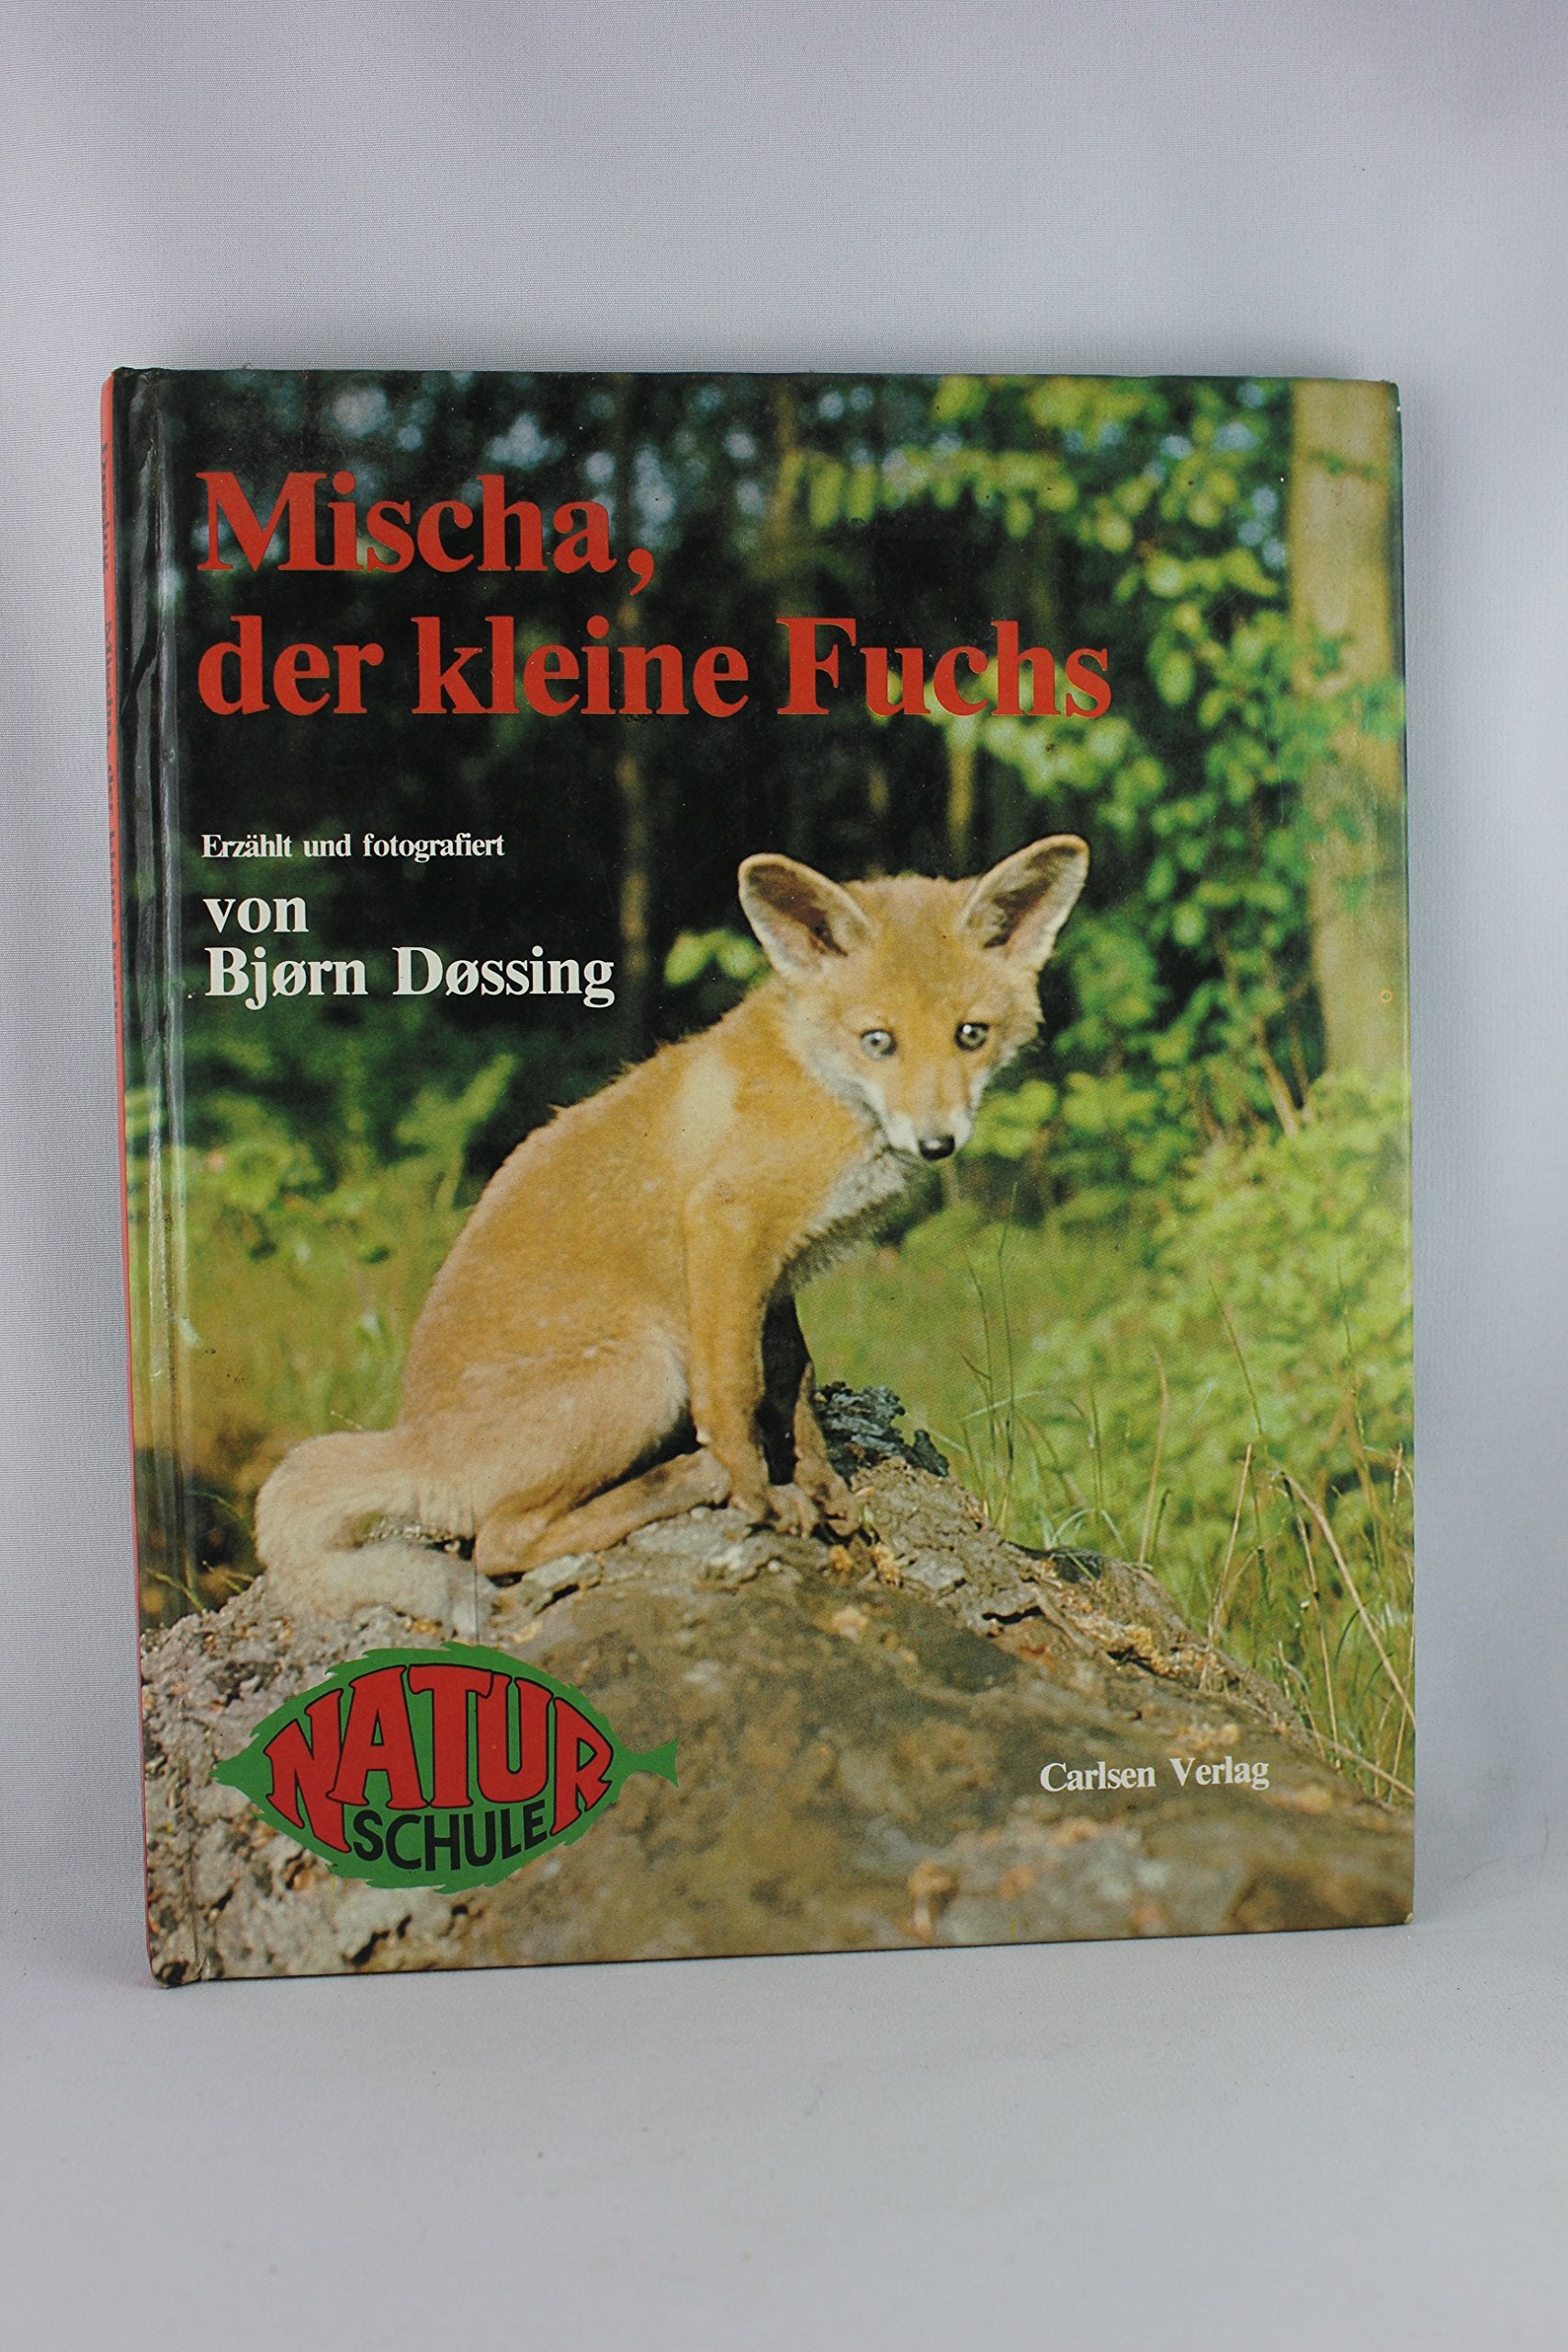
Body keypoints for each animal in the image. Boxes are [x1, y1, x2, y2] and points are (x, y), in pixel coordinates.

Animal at [254, 833, 1089, 1632]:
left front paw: (819, 1484)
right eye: (878, 1040)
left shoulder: (774, 1272)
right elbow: (736, 1390)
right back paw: (687, 1480)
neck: (823, 1087)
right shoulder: (725, 1224)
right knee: (499, 1545)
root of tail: (417, 1446)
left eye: (970, 1035)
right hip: (643, 1374)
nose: (936, 1142)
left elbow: (790, 1386)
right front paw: (760, 1497)